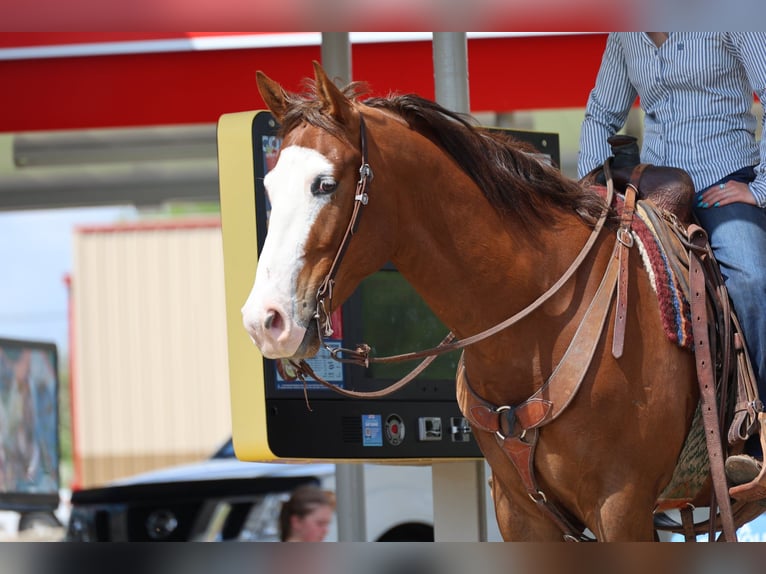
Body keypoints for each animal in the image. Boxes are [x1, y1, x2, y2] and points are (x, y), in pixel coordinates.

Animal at [240, 62, 757, 541]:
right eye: (267, 189)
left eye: (324, 184)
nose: (264, 320)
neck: (539, 325)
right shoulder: (519, 512)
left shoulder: (622, 509)